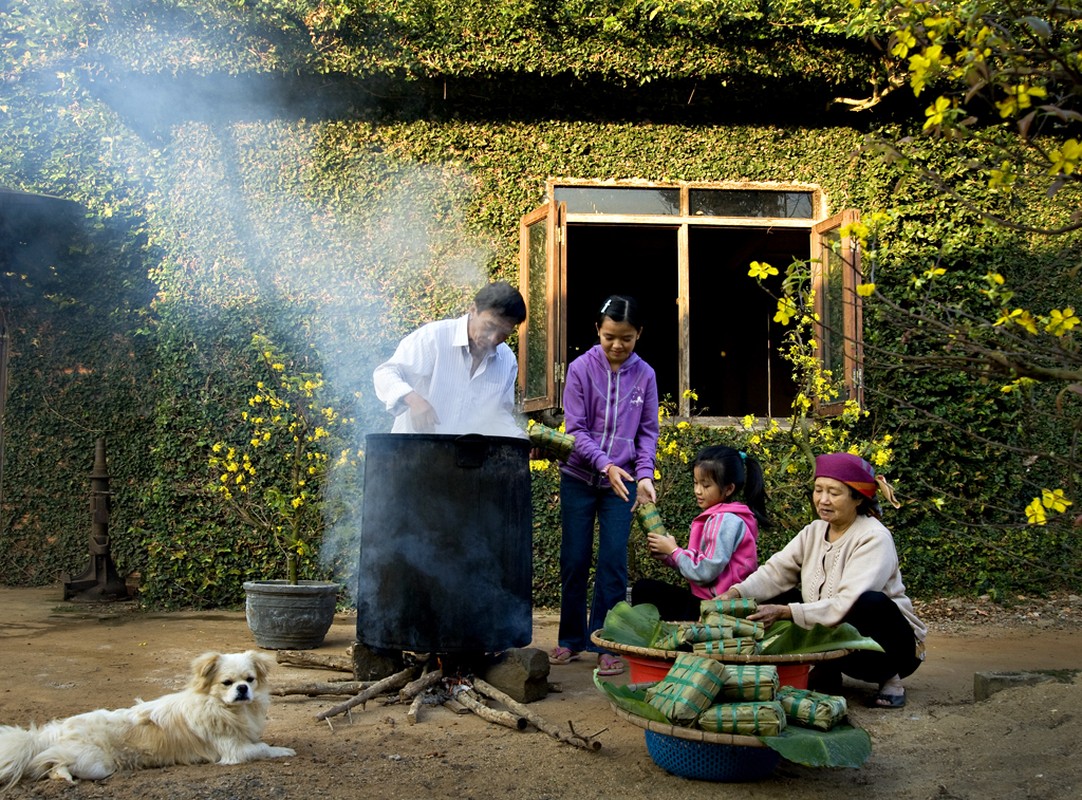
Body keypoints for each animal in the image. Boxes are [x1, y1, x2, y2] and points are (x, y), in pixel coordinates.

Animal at [0, 649, 296, 788]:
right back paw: (62, 775)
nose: (242, 689)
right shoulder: (235, 750)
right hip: (96, 765)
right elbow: (263, 748)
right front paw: (285, 750)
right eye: (227, 683)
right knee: (50, 762)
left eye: (250, 680)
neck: (227, 709)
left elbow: (261, 743)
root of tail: (52, 732)